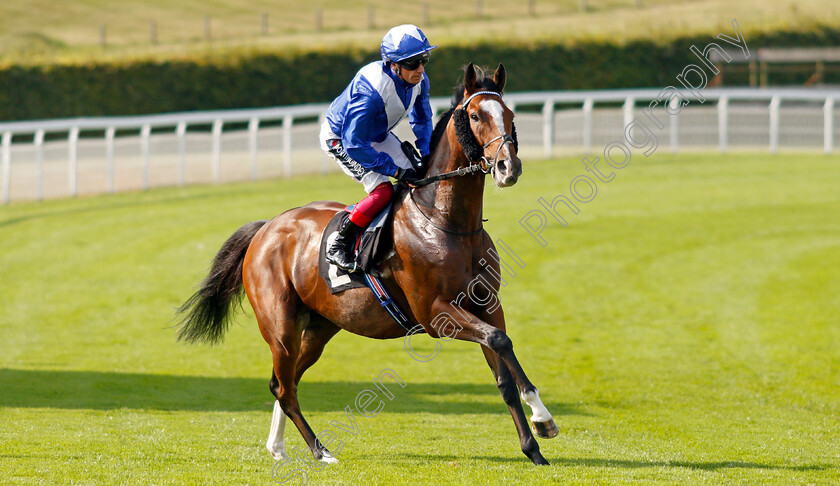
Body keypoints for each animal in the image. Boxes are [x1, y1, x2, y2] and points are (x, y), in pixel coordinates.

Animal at [176, 62, 556, 466]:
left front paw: (535, 440)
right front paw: (542, 420)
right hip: (281, 326)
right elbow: (501, 341)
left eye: (511, 115)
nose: (507, 167)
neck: (446, 222)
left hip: (320, 326)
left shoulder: (486, 304)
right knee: (285, 387)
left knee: (285, 381)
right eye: (475, 116)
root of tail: (266, 228)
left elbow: (504, 370)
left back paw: (277, 446)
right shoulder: (436, 314)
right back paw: (320, 450)